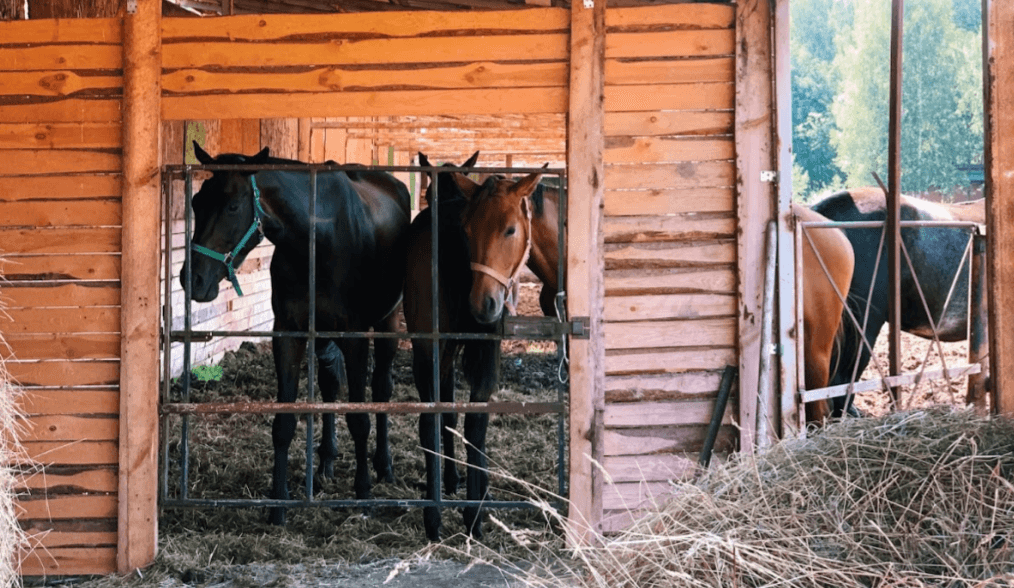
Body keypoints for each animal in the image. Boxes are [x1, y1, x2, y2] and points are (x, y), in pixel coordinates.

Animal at [182, 143, 411, 525]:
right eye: (197, 202)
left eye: (233, 206)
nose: (193, 279)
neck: (317, 237)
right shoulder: (288, 333)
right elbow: (284, 422)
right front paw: (279, 502)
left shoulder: (355, 336)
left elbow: (359, 417)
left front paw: (363, 494)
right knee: (331, 385)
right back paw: (326, 463)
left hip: (388, 322)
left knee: (381, 388)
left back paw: (384, 466)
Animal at [403, 152, 545, 541]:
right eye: (469, 231)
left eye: (510, 230)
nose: (484, 304)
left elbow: (458, 417)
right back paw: (457, 514)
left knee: (438, 420)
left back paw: (442, 514)